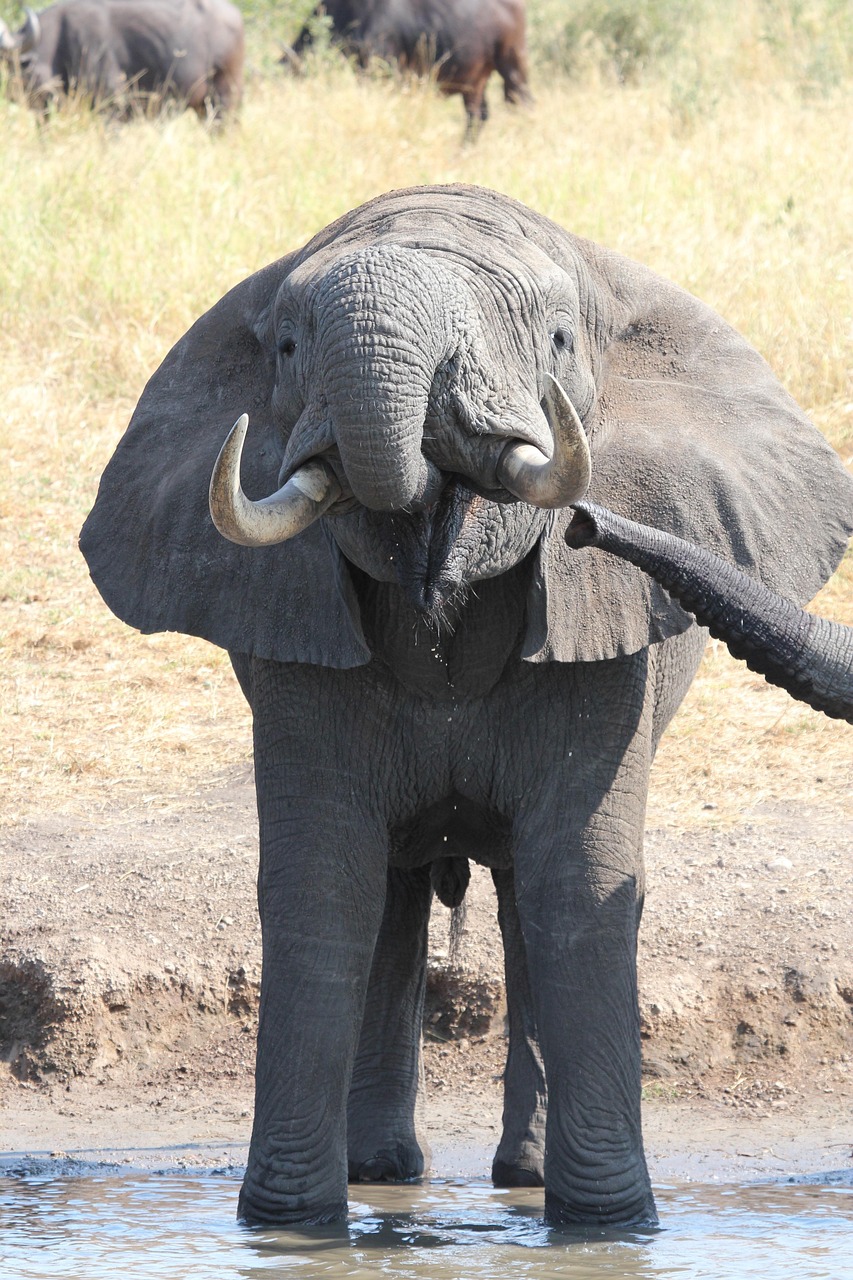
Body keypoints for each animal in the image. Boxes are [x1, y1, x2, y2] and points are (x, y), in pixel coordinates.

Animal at [79, 184, 853, 1228]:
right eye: (284, 349)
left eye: (559, 341)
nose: (587, 522)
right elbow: (321, 882)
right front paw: (287, 1229)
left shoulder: (602, 642)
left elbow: (576, 882)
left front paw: (608, 1229)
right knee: (392, 896)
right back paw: (383, 1173)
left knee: (523, 894)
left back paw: (517, 1181)